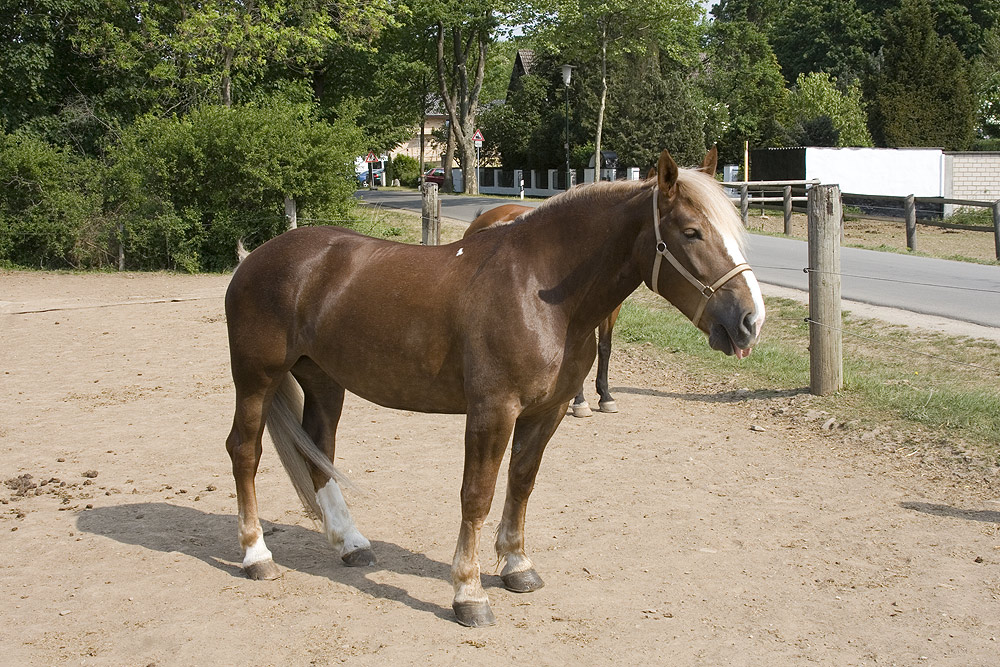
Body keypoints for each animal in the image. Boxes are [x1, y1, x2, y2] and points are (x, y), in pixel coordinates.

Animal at [223, 149, 760, 628]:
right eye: (691, 232)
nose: (750, 321)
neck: (540, 290)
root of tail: (256, 258)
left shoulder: (547, 410)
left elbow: (521, 483)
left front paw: (517, 566)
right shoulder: (492, 411)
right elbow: (476, 495)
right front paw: (469, 593)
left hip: (324, 381)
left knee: (319, 450)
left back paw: (351, 543)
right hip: (256, 379)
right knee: (244, 451)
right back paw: (256, 555)